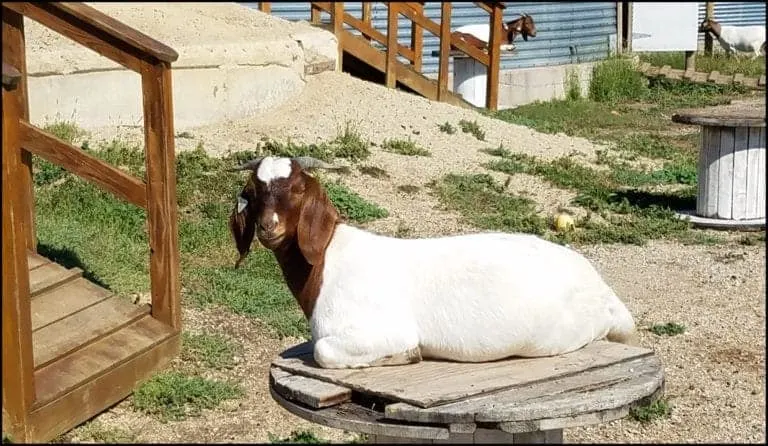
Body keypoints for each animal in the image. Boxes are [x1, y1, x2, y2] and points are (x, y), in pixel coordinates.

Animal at [231, 157, 640, 370]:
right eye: (254, 193)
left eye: (298, 190)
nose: (269, 227)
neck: (329, 260)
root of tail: (602, 289)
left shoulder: (379, 329)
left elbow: (324, 350)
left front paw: (404, 356)